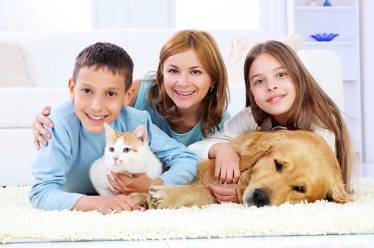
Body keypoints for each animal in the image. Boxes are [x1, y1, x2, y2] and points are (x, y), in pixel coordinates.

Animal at [133, 130, 352, 209]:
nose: (260, 197)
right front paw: (139, 196)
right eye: (277, 164)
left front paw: (163, 195)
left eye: (300, 189)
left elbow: (198, 190)